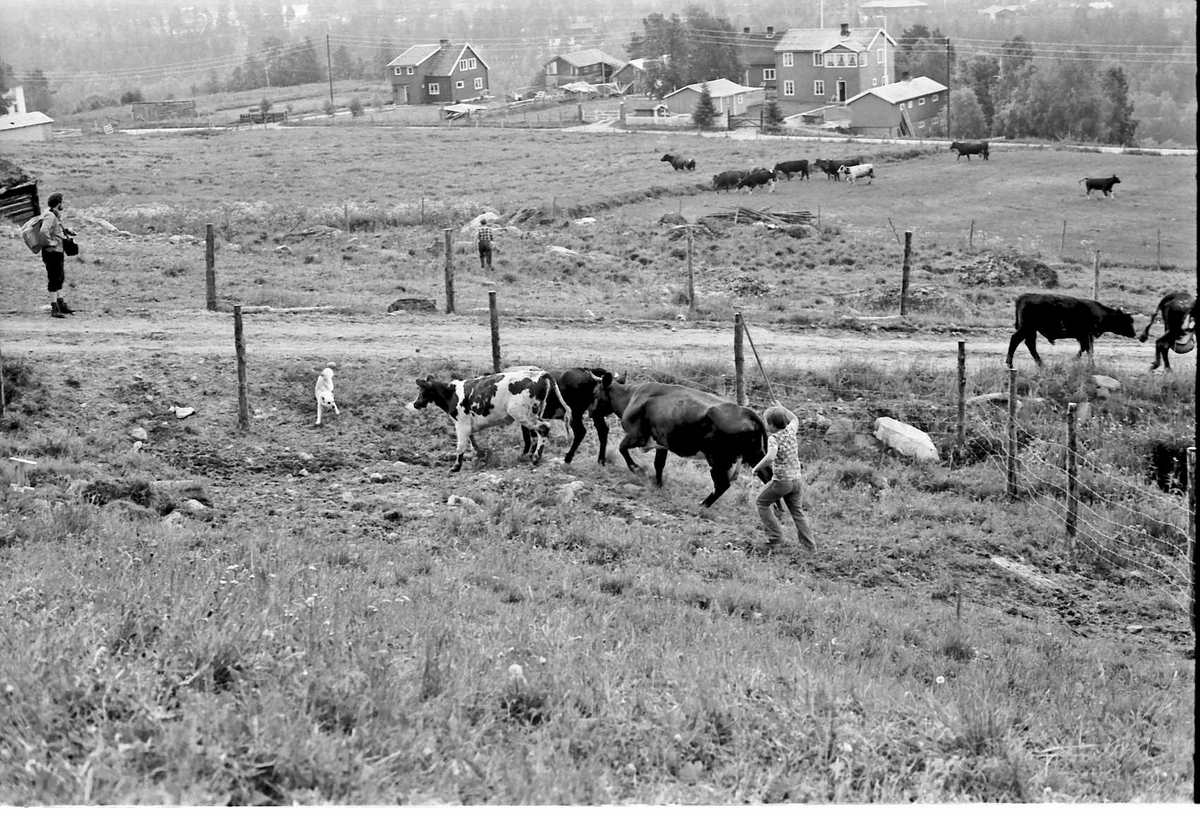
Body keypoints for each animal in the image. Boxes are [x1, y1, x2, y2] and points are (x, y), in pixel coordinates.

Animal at [412, 365, 571, 473]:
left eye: (421, 390)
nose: (415, 404)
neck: (452, 393)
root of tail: (539, 374)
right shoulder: (468, 425)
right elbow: (472, 443)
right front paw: (480, 456)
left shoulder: (461, 424)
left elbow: (461, 446)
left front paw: (456, 467)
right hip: (533, 414)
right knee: (535, 435)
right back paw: (530, 457)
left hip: (522, 414)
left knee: (544, 428)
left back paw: (536, 459)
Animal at [588, 369, 768, 504]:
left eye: (595, 393)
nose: (590, 412)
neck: (632, 398)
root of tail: (747, 412)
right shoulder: (661, 443)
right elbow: (659, 464)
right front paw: (658, 485)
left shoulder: (636, 436)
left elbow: (622, 448)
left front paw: (637, 469)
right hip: (755, 455)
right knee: (767, 477)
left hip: (719, 459)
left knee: (722, 484)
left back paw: (703, 505)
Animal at [1003, 287, 1132, 362]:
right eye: (1127, 321)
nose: (1134, 333)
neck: (1098, 312)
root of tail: (1024, 296)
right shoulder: (1085, 335)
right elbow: (1086, 349)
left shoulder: (1085, 337)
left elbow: (1087, 350)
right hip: (1026, 328)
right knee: (1015, 340)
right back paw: (1010, 363)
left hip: (1031, 330)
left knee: (1030, 345)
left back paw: (1041, 365)